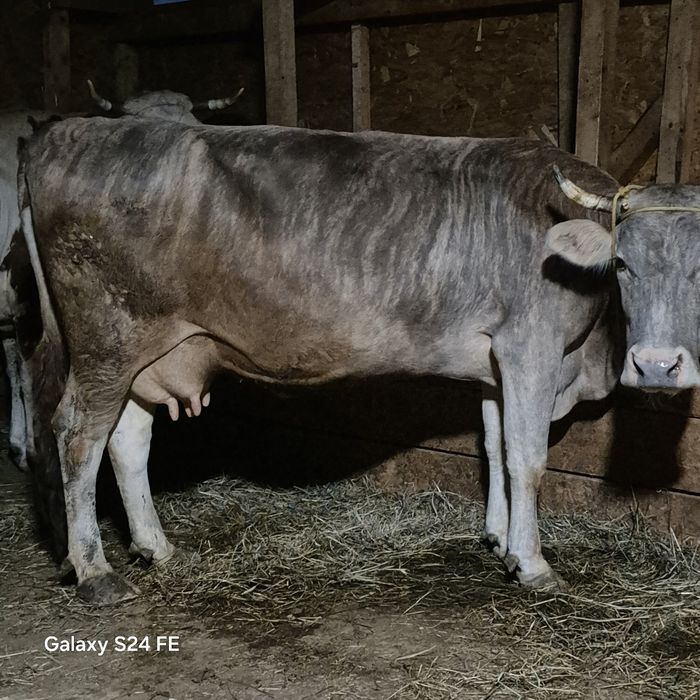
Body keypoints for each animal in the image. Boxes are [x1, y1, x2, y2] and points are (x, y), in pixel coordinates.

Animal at [16, 117, 700, 604]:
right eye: (623, 263)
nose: (657, 365)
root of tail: (59, 133)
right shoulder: (528, 345)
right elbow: (526, 458)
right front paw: (532, 564)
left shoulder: (494, 360)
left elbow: (494, 446)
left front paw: (499, 539)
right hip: (108, 336)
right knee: (77, 435)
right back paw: (94, 569)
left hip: (150, 351)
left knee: (127, 440)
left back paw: (155, 546)